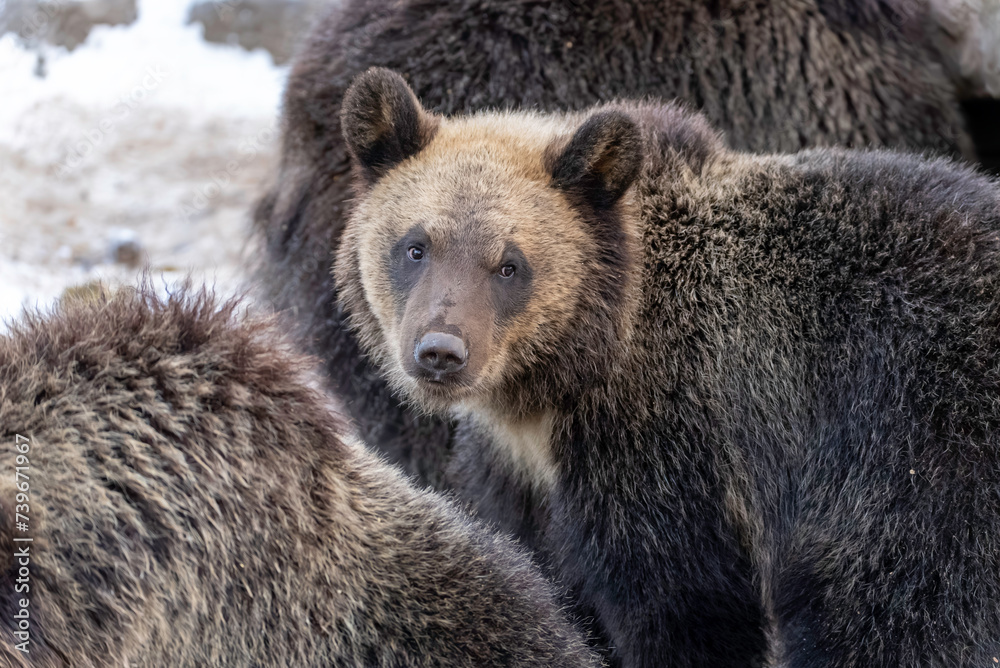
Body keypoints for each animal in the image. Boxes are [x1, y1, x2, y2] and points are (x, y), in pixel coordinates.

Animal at [334, 69, 1000, 668]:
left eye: (509, 264)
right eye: (416, 246)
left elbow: (683, 608)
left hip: (922, 446)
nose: (441, 351)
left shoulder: (675, 447)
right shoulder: (522, 479)